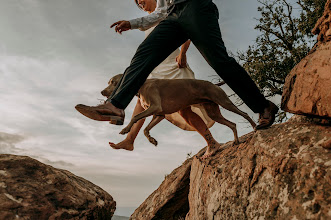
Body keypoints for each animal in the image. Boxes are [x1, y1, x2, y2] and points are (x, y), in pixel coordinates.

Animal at [101, 75, 256, 152]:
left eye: (113, 82)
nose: (102, 92)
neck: (142, 86)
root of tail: (214, 84)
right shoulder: (159, 114)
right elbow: (145, 129)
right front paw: (152, 140)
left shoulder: (155, 107)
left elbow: (136, 117)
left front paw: (125, 129)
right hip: (214, 113)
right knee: (233, 124)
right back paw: (236, 141)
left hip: (224, 102)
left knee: (245, 114)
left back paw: (255, 126)